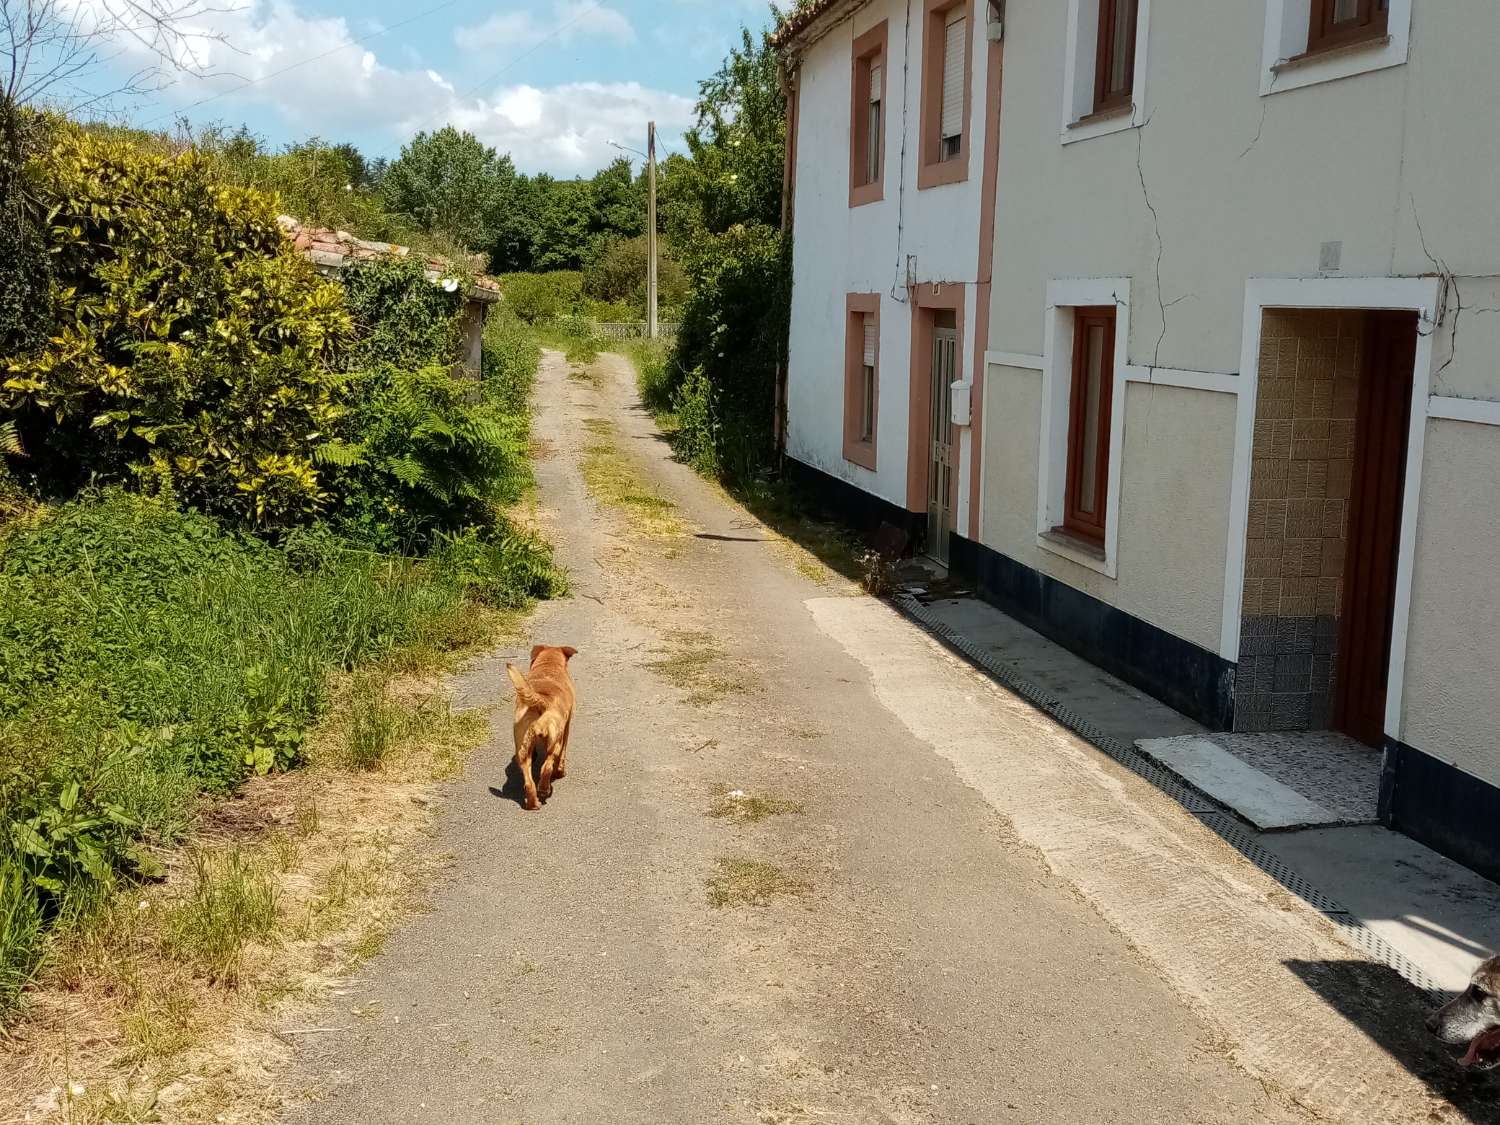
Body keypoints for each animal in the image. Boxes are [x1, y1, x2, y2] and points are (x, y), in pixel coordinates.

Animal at [504, 648, 573, 816]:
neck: (548, 666)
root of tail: (541, 701)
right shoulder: (566, 728)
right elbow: (562, 756)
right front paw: (560, 772)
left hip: (522, 748)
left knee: (529, 781)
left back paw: (533, 804)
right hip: (554, 743)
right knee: (546, 767)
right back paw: (544, 789)